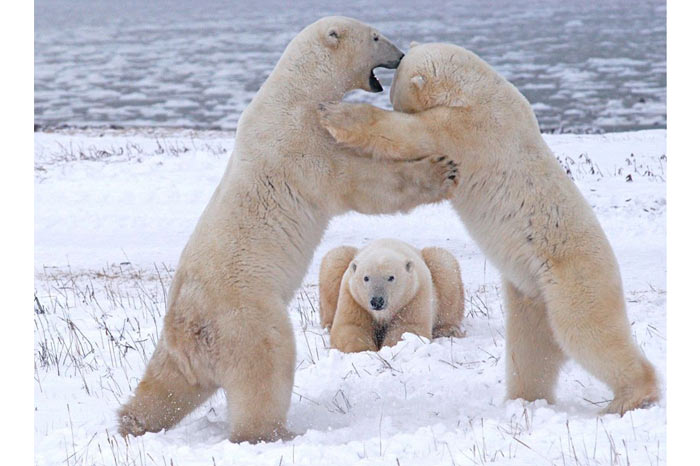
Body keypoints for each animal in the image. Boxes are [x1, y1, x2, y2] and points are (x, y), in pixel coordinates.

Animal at [318, 238, 464, 352]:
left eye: (391, 277)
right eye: (366, 278)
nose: (377, 301)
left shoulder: (414, 294)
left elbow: (407, 327)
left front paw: (390, 348)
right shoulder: (353, 297)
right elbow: (351, 326)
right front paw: (364, 350)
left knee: (444, 265)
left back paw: (447, 330)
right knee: (335, 260)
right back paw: (329, 325)